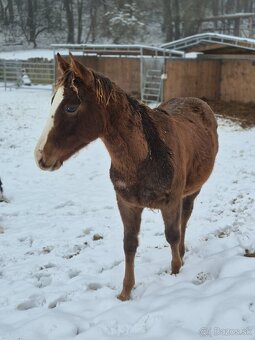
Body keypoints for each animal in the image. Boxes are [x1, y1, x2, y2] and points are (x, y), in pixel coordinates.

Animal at [34, 54, 218, 302]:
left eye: (71, 107)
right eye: (52, 101)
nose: (40, 156)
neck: (146, 157)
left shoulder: (170, 202)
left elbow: (171, 235)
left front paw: (176, 271)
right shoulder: (127, 204)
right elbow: (129, 244)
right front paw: (125, 292)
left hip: (193, 190)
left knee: (185, 219)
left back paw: (181, 252)